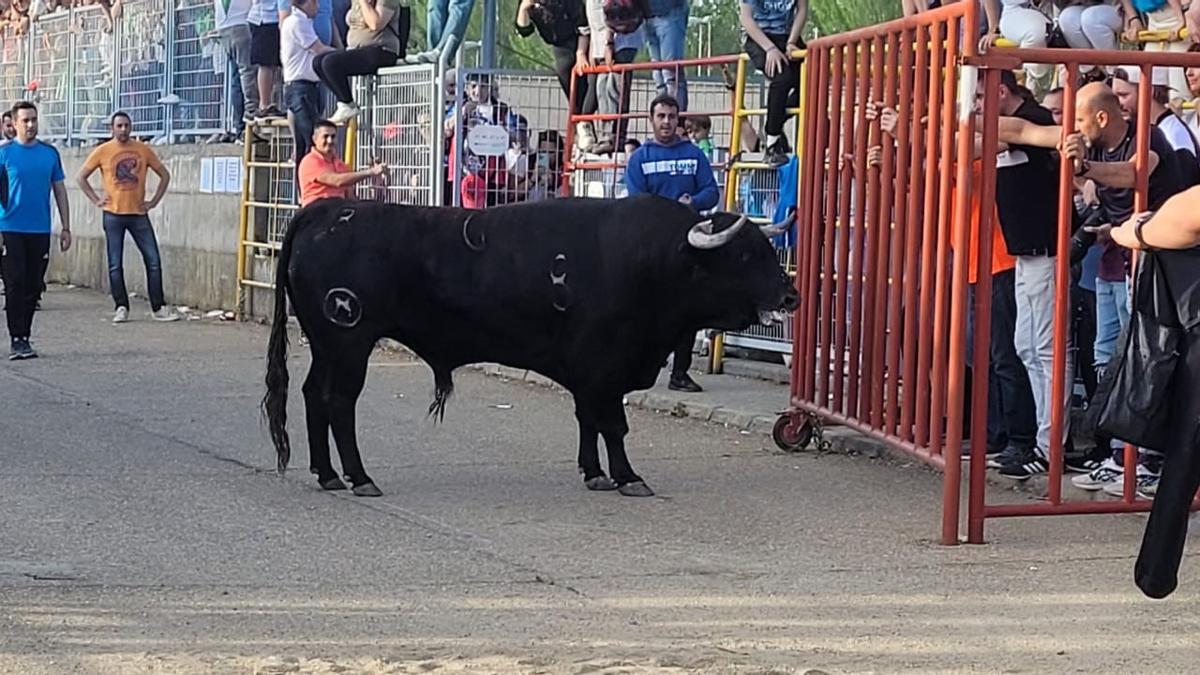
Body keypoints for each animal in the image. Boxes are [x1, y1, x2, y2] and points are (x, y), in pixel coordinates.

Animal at [262, 193, 796, 494]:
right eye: (743, 255)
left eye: (767, 248)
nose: (790, 294)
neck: (651, 260)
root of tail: (326, 211)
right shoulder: (603, 366)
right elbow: (613, 425)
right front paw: (627, 477)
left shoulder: (588, 372)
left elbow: (588, 421)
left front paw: (594, 473)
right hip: (349, 341)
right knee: (339, 402)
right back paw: (359, 477)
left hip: (326, 345)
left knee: (313, 397)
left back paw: (327, 473)